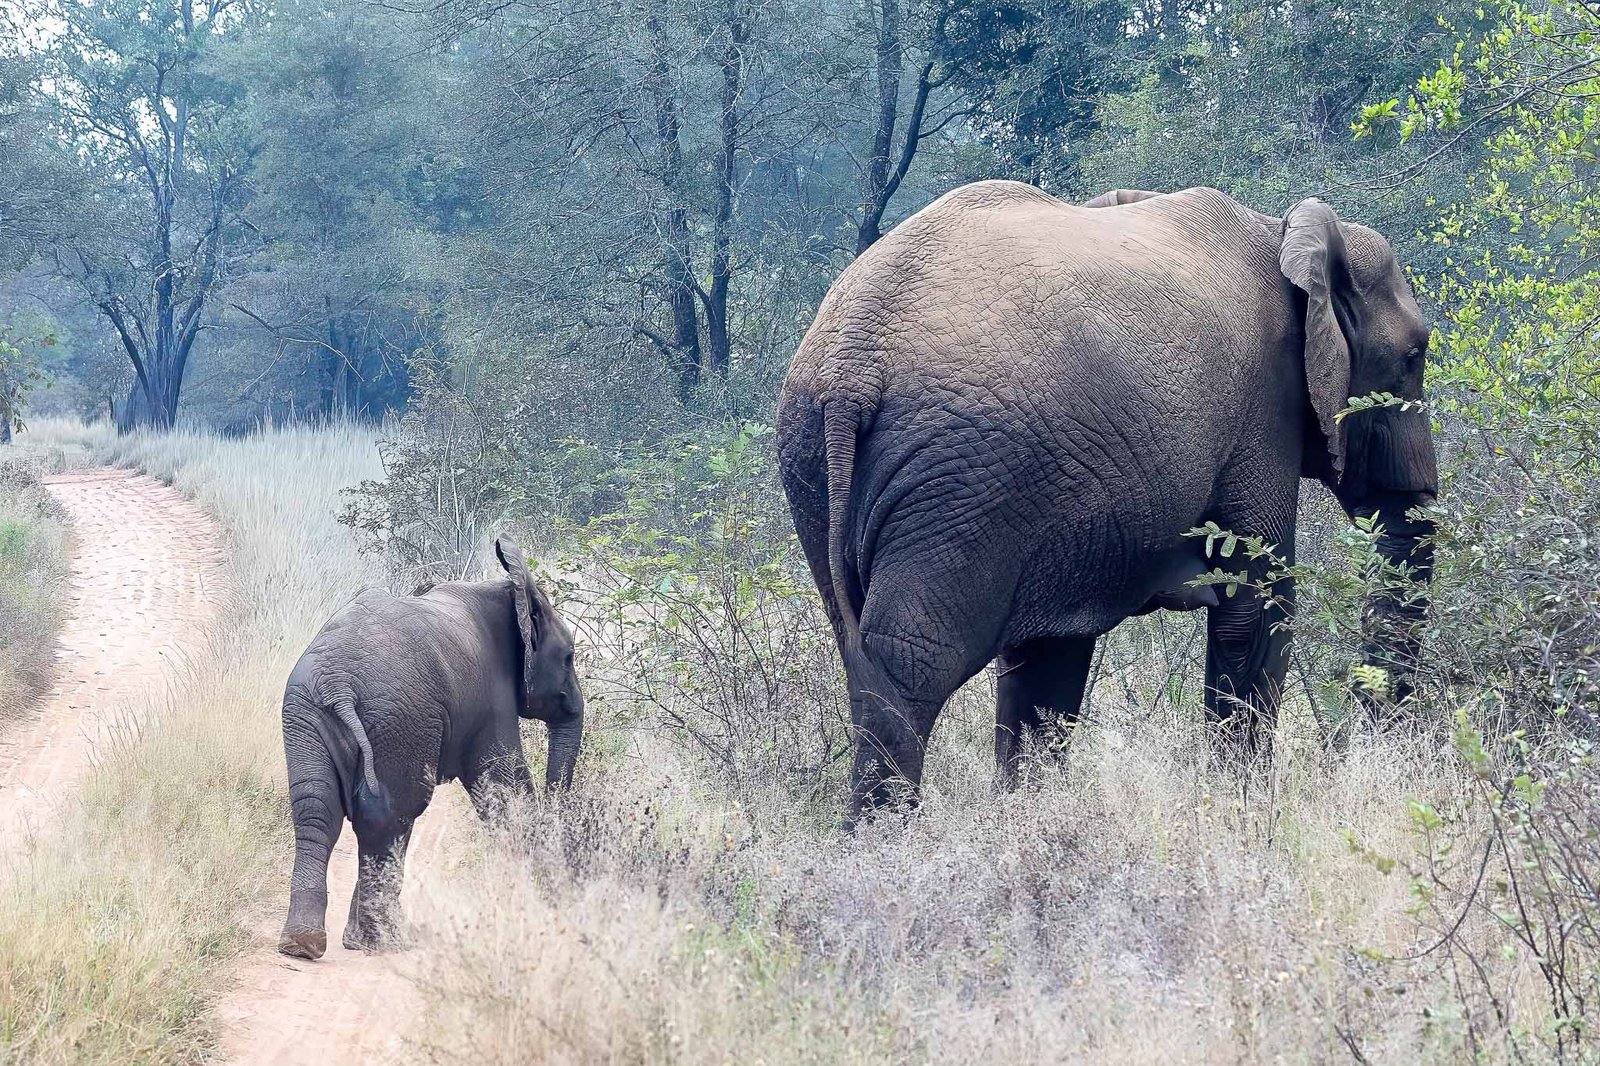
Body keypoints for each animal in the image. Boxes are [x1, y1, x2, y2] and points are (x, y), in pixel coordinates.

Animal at [276, 538, 584, 960]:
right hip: (397, 717)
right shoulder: (491, 699)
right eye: (569, 657)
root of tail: (337, 682)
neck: (508, 591)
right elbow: (504, 787)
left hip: (306, 716)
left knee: (317, 811)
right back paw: (388, 941)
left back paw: (304, 945)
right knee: (391, 815)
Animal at [776, 181, 1438, 823]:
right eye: (1415, 356)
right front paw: (1244, 808)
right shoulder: (1264, 415)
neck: (1285, 233)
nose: (1364, 745)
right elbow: (1255, 607)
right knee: (912, 663)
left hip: (825, 466)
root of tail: (852, 371)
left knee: (871, 659)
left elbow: (1049, 658)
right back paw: (887, 841)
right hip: (957, 479)